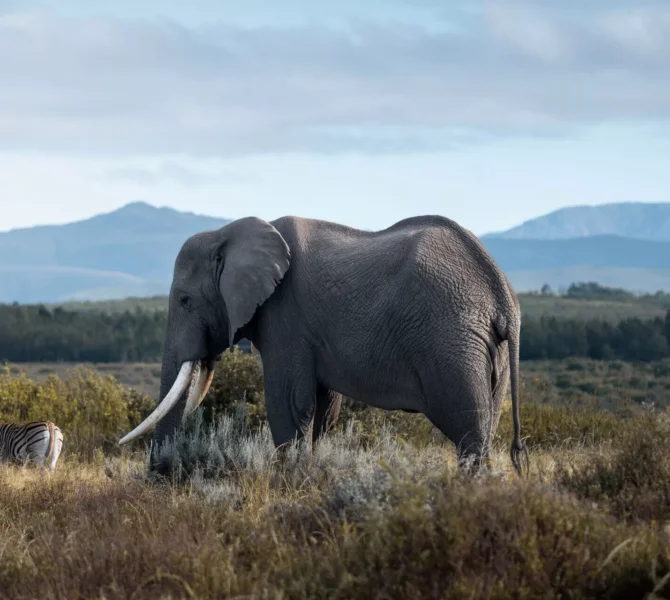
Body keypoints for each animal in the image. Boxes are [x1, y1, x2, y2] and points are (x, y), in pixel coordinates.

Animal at [118, 214, 529, 477]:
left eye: (185, 300)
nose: (158, 477)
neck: (228, 231)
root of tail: (501, 293)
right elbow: (322, 410)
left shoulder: (285, 314)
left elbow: (287, 402)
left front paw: (287, 484)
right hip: (483, 348)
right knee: (484, 423)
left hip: (452, 339)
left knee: (468, 428)